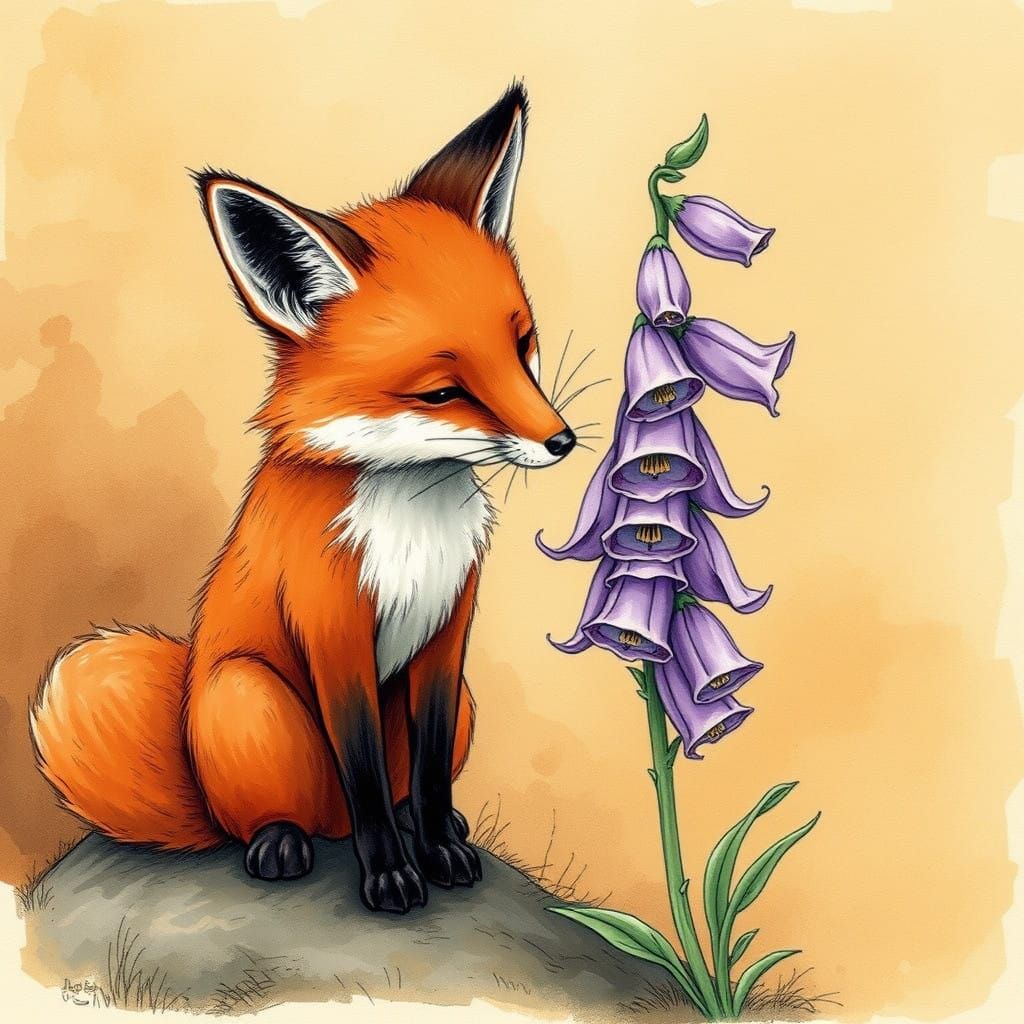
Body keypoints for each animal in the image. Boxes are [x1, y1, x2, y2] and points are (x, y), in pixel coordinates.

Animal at [29, 85, 577, 914]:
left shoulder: (448, 635)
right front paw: (390, 875)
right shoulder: (332, 630)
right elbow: (364, 775)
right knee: (284, 819)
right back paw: (281, 843)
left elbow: (428, 777)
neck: (411, 521)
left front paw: (438, 846)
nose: (563, 441)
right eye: (442, 392)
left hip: (463, 707)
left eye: (521, 348)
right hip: (251, 697)